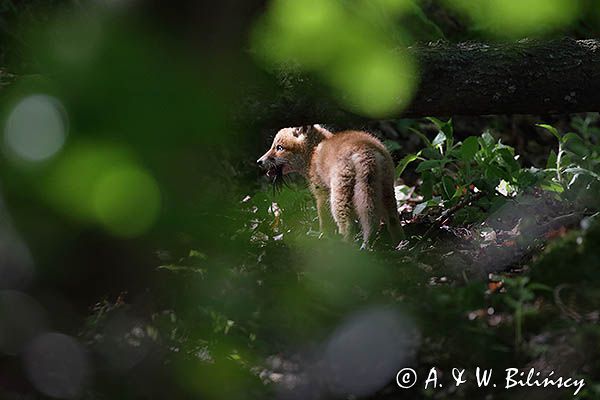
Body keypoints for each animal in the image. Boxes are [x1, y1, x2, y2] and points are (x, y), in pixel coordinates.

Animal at [256, 123, 404, 248]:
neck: (313, 153)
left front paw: (322, 235)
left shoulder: (321, 193)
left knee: (348, 225)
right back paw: (399, 244)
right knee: (392, 219)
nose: (259, 161)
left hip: (338, 198)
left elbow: (323, 220)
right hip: (385, 191)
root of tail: (363, 149)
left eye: (279, 148)